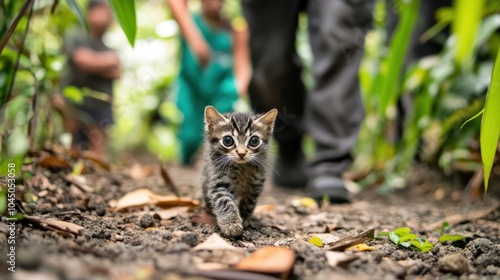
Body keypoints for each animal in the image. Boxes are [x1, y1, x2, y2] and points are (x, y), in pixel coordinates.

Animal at [201, 105, 278, 236]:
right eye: (227, 140)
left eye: (254, 141)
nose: (241, 153)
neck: (242, 167)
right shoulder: (218, 182)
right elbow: (224, 202)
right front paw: (231, 224)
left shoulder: (256, 184)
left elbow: (249, 203)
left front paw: (245, 218)